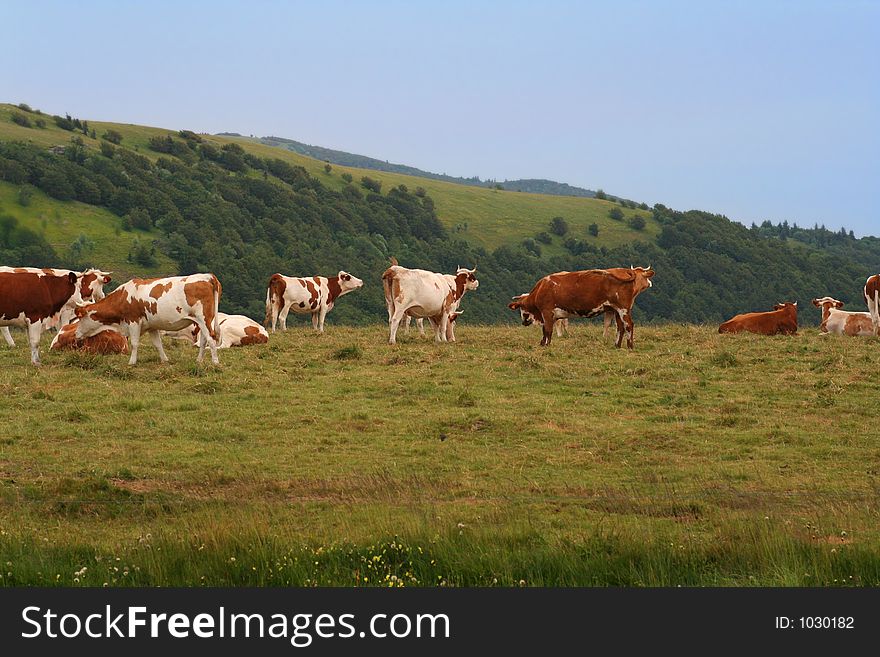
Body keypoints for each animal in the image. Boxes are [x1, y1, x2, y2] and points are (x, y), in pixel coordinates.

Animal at [74, 272, 222, 364]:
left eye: (80, 318)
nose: (76, 334)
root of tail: (208, 276)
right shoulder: (152, 326)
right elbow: (158, 344)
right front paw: (164, 360)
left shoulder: (133, 321)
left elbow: (134, 343)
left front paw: (132, 362)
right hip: (202, 321)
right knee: (204, 340)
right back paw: (199, 361)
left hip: (204, 318)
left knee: (211, 339)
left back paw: (215, 362)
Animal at [508, 266, 652, 348]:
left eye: (521, 308)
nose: (523, 322)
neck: (541, 289)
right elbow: (545, 331)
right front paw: (543, 343)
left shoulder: (547, 312)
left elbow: (548, 331)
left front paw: (546, 346)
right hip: (616, 310)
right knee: (620, 327)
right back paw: (617, 345)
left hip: (623, 309)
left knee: (629, 325)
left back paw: (630, 346)